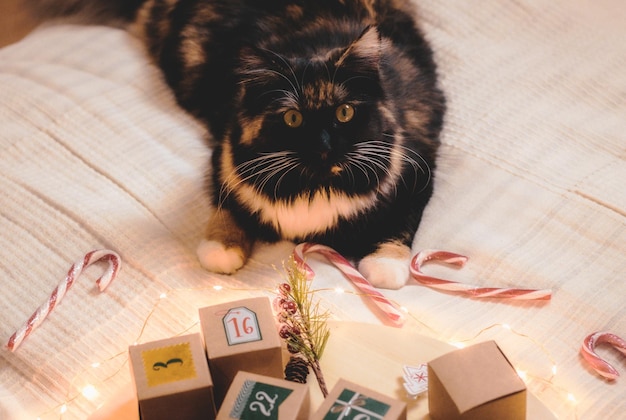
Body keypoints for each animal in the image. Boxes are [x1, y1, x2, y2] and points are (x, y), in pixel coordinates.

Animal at [25, 0, 444, 288]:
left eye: (344, 113)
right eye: (292, 119)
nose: (325, 146)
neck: (313, 186)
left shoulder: (419, 162)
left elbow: (401, 224)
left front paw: (385, 266)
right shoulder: (223, 152)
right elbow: (225, 204)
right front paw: (221, 250)